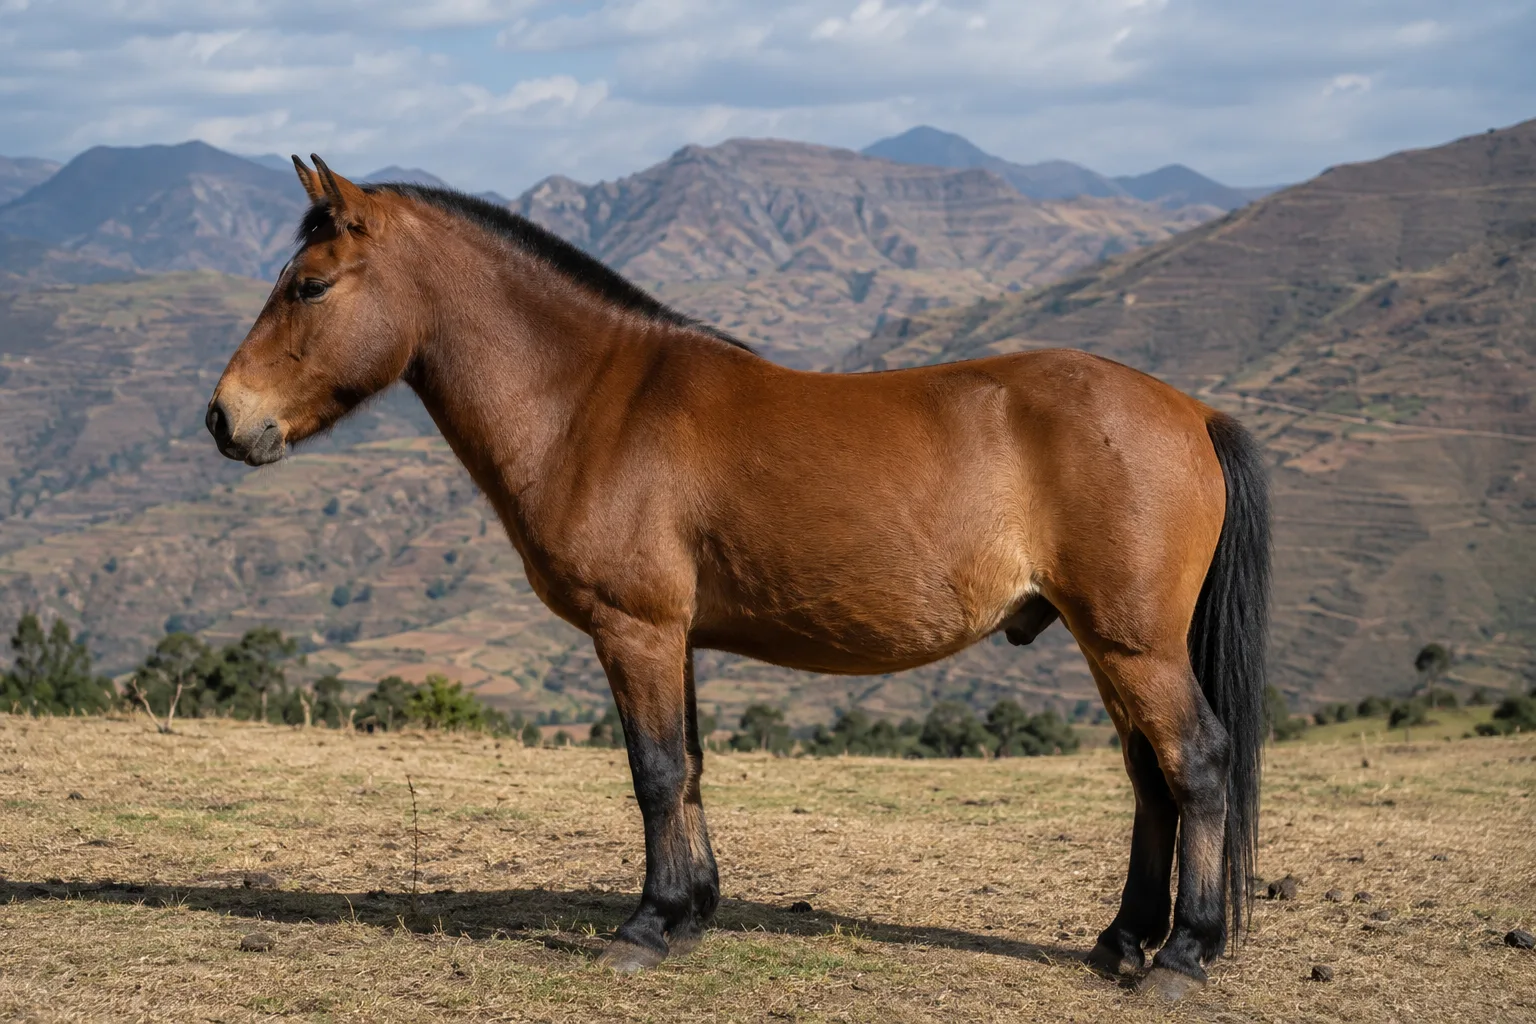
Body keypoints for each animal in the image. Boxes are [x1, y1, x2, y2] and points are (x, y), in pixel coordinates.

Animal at [206, 156, 1270, 1000]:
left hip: (1133, 643)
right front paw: (691, 914)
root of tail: (1191, 411)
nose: (225, 418)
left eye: (309, 287)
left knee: (1197, 762)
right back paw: (1121, 941)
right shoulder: (672, 636)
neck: (592, 401)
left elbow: (654, 771)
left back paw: (1183, 955)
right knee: (1150, 776)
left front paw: (645, 928)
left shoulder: (633, 629)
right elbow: (689, 769)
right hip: (1109, 643)